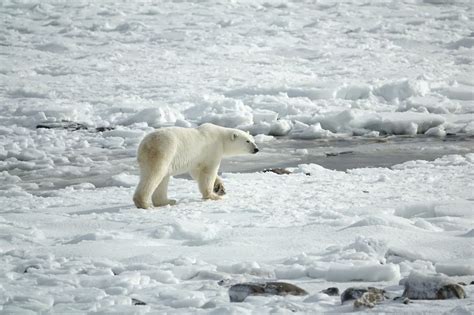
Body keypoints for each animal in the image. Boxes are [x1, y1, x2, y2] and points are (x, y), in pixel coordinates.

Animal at [132, 123, 260, 210]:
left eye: (253, 140)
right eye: (247, 141)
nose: (256, 149)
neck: (221, 138)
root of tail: (144, 144)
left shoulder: (197, 158)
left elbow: (197, 172)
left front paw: (220, 188)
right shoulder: (212, 150)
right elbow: (208, 172)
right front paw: (213, 196)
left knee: (163, 178)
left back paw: (168, 201)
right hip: (163, 151)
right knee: (154, 174)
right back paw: (145, 204)